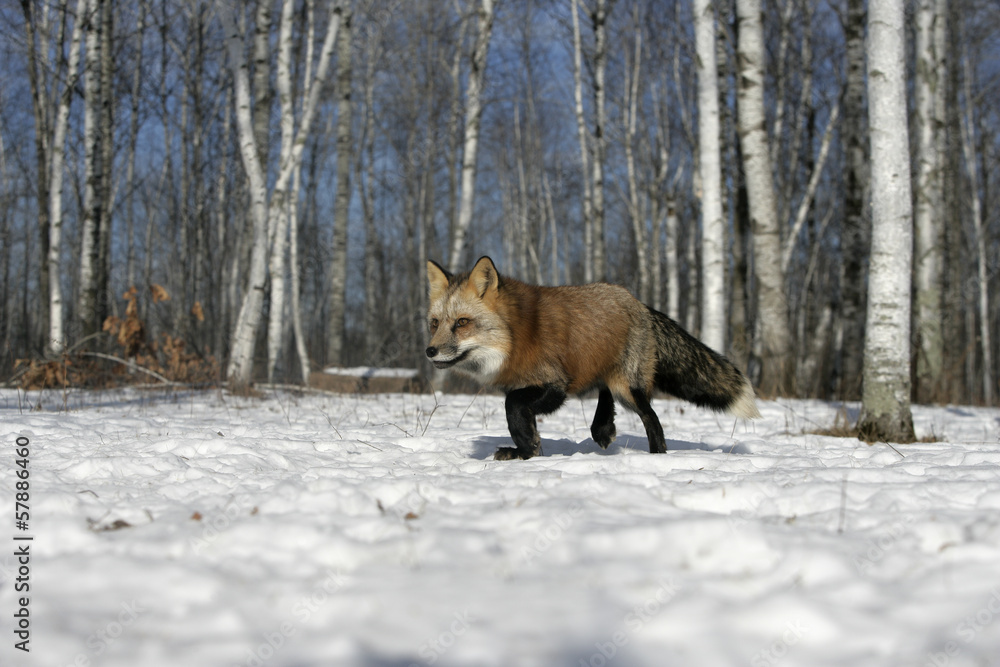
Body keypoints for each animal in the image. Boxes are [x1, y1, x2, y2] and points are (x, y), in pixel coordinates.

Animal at [426, 256, 761, 460]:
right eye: (435, 323)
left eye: (462, 322)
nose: (430, 351)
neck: (518, 335)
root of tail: (639, 303)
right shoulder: (527, 385)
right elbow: (521, 420)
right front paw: (528, 452)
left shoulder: (554, 386)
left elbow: (513, 407)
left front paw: (525, 451)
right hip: (609, 374)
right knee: (605, 393)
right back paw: (603, 429)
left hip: (629, 388)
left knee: (651, 419)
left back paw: (657, 454)